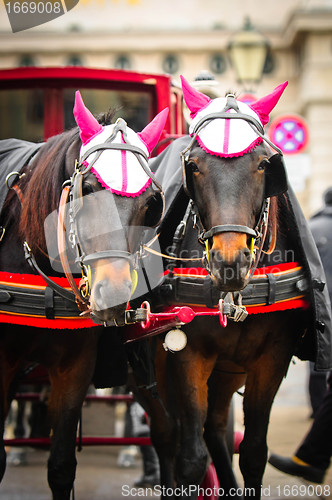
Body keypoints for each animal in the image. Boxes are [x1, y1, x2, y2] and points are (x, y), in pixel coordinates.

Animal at [130, 79, 332, 500]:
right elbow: (191, 459)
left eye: (264, 163)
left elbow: (253, 452)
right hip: (146, 372)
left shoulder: (269, 359)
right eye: (193, 165)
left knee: (217, 432)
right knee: (167, 435)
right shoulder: (187, 355)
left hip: (227, 373)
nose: (230, 261)